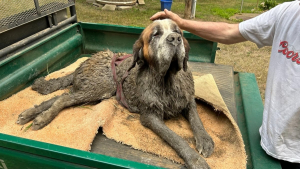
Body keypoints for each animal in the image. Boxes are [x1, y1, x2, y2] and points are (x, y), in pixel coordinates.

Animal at [17, 19, 213, 168]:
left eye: (177, 31)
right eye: (155, 35)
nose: (175, 38)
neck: (166, 80)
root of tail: (87, 61)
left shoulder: (188, 100)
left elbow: (197, 119)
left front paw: (204, 140)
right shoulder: (150, 116)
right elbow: (175, 137)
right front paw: (194, 159)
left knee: (59, 97)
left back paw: (30, 114)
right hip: (99, 88)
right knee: (64, 98)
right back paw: (43, 118)